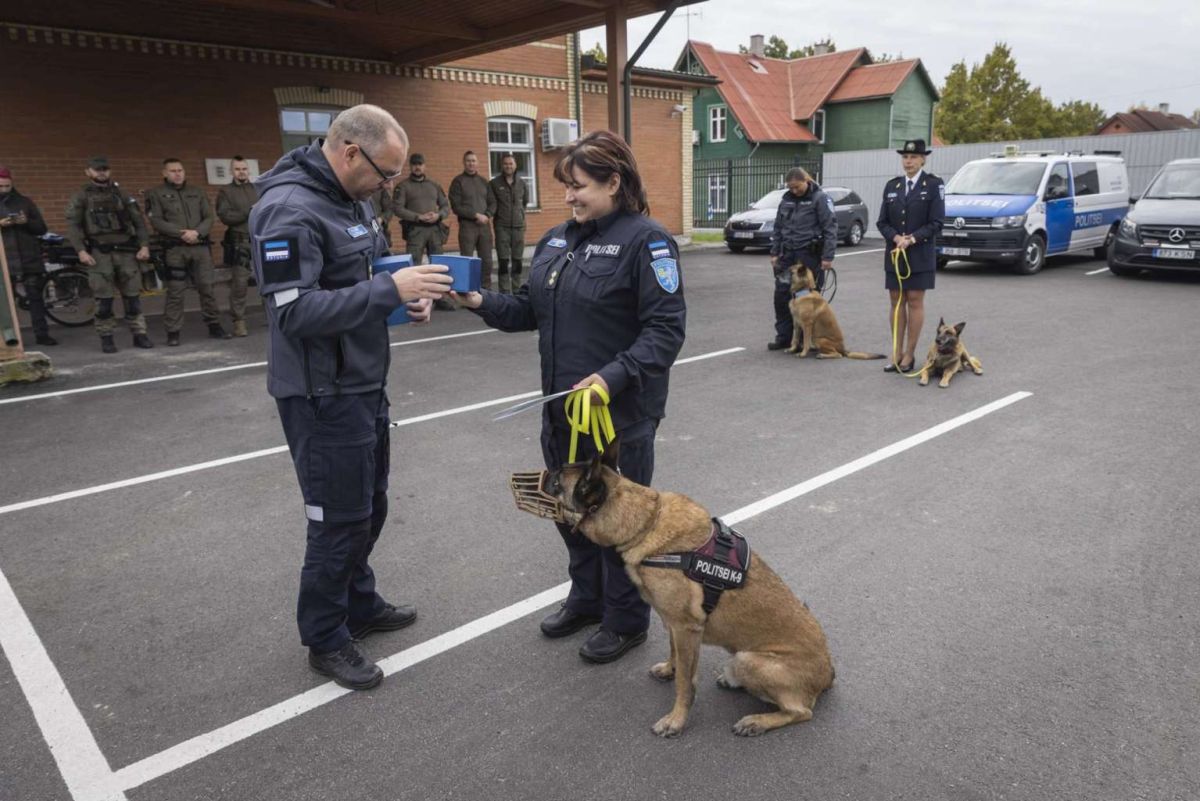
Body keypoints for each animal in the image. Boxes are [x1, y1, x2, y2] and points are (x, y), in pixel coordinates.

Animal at [525, 443, 835, 738]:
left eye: (556, 479)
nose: (539, 474)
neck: (646, 522)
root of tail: (828, 673)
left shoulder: (687, 629)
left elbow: (685, 683)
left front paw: (676, 721)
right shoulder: (673, 624)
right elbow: (674, 654)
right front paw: (669, 668)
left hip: (750, 660)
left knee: (801, 711)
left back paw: (757, 721)